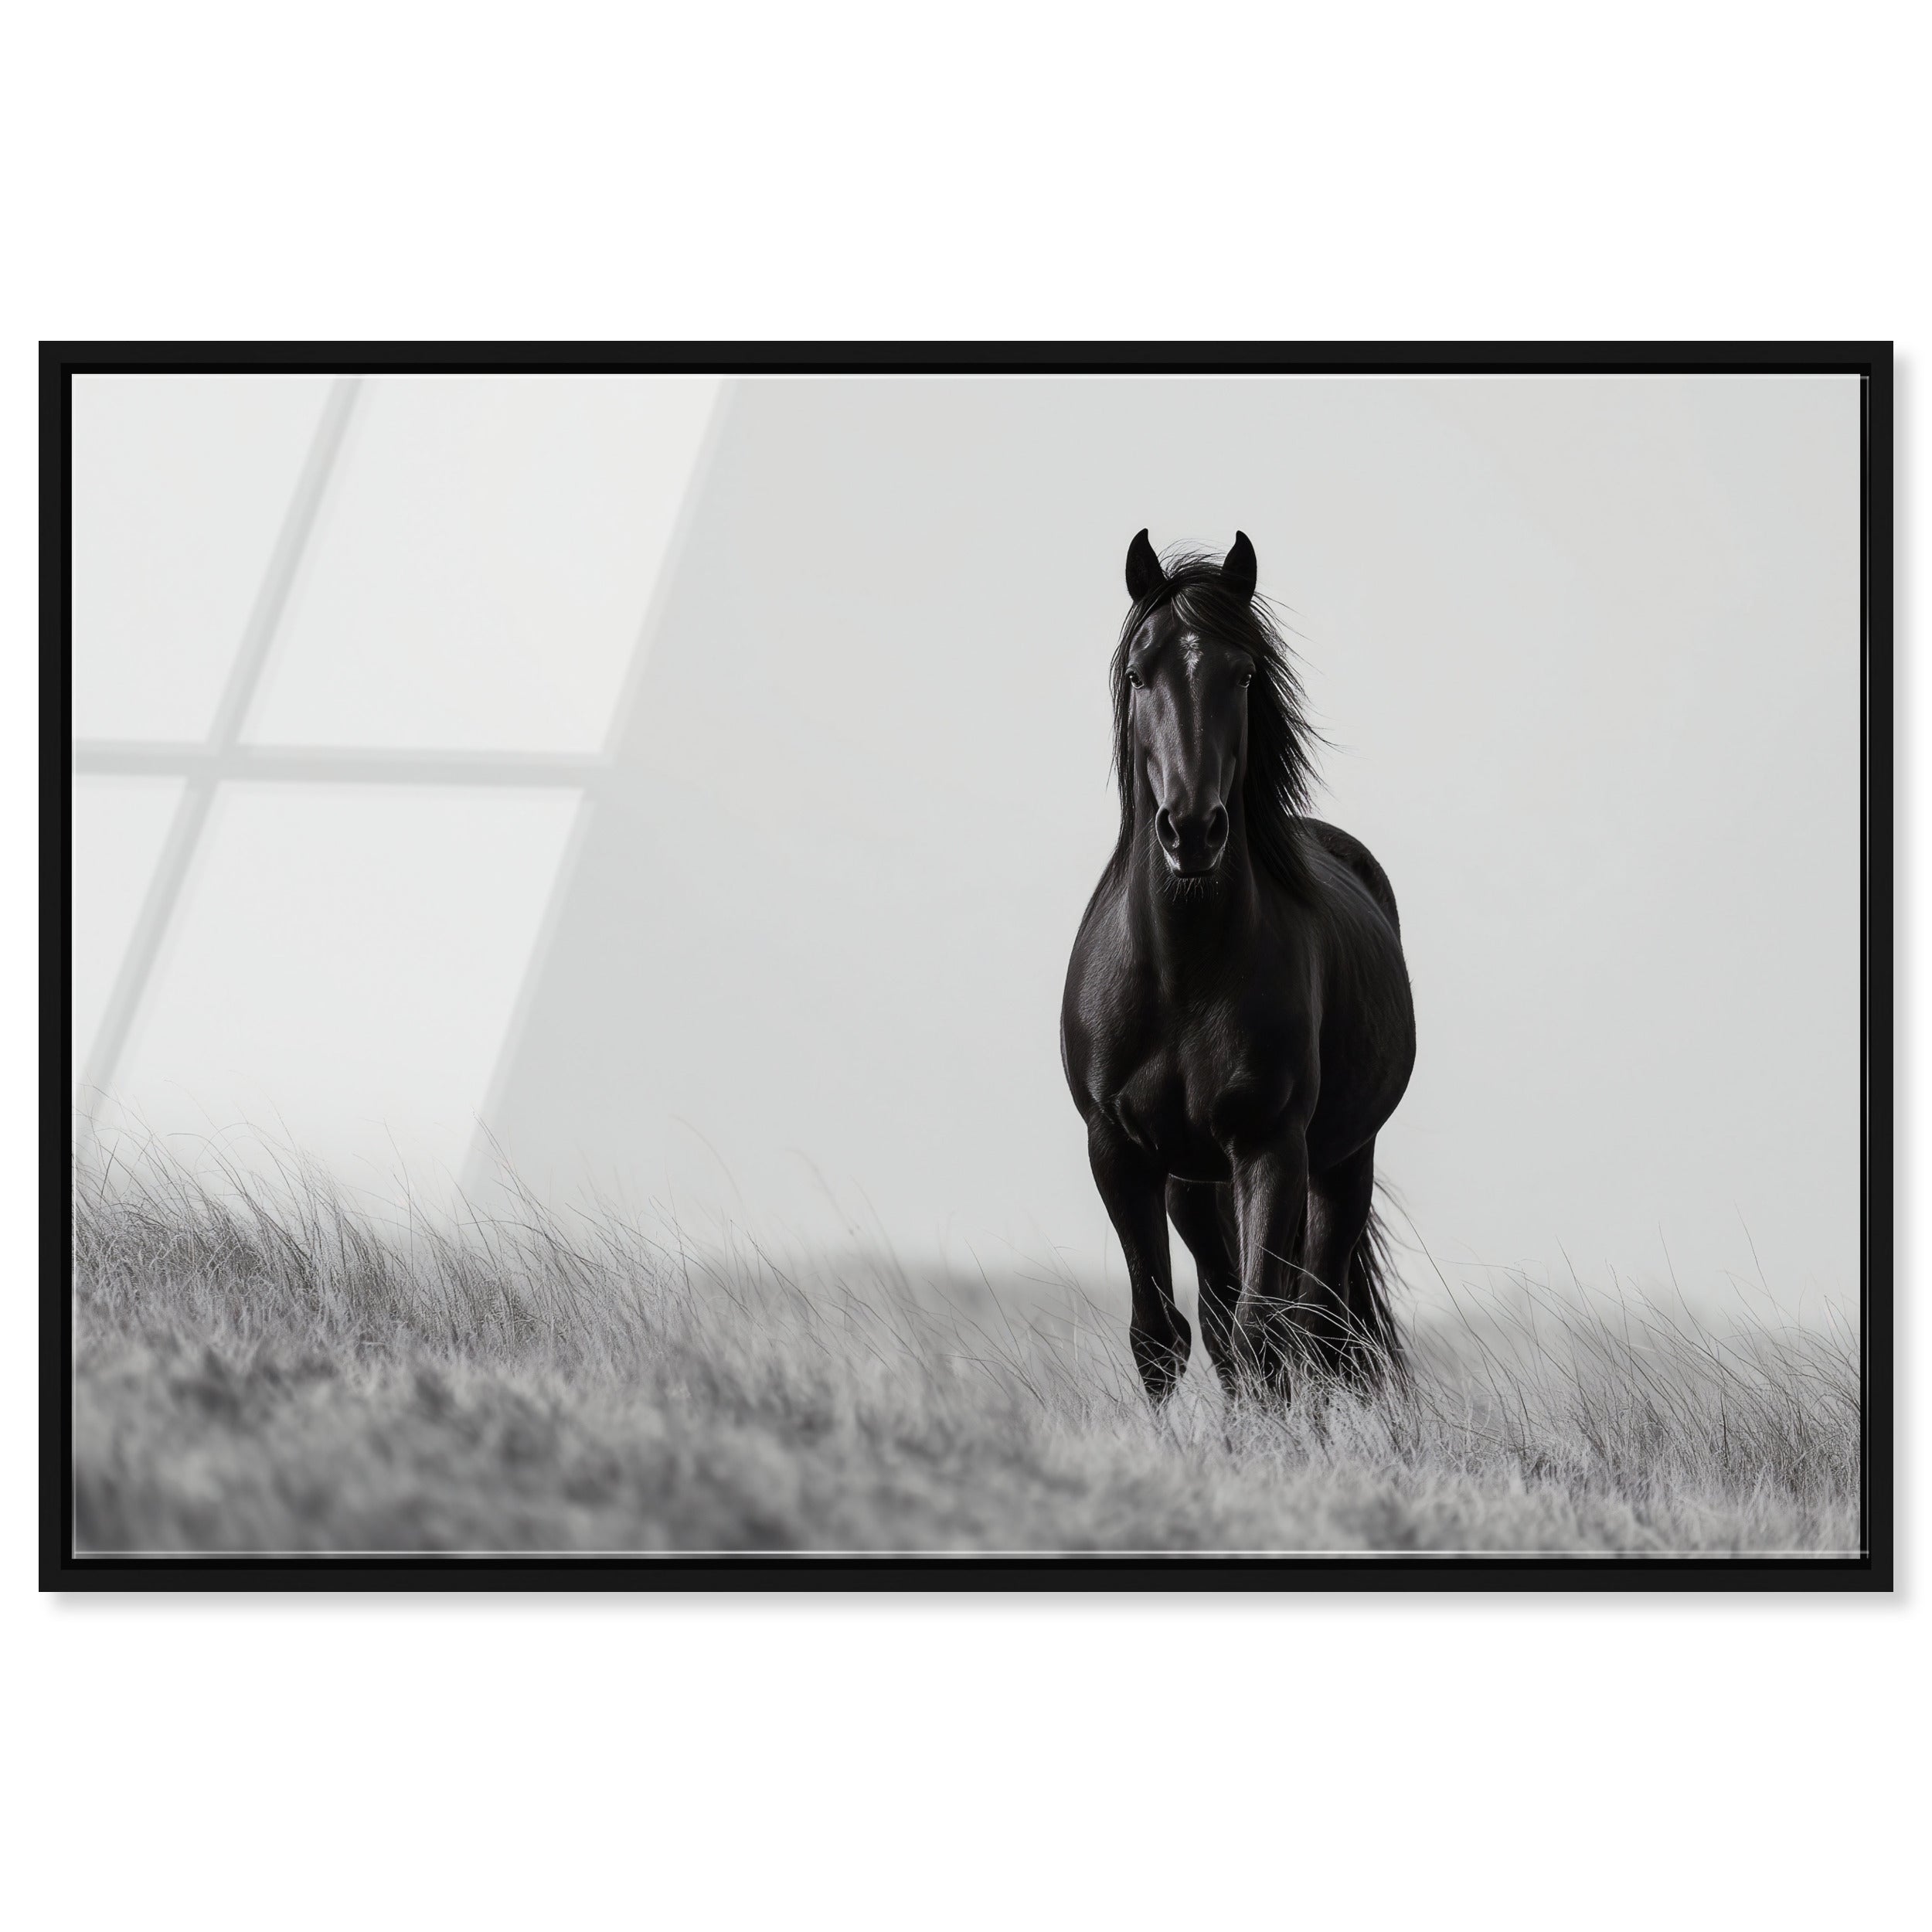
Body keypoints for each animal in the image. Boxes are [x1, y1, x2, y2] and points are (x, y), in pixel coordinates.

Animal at [1060, 530, 1416, 1407]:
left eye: (1244, 674)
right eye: (1138, 673)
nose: (1191, 830)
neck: (1184, 970)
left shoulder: (1270, 1147)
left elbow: (1266, 1335)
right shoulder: (1117, 1152)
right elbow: (1160, 1337)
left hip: (1340, 1165)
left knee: (1312, 1328)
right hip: (1196, 1186)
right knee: (1230, 1322)